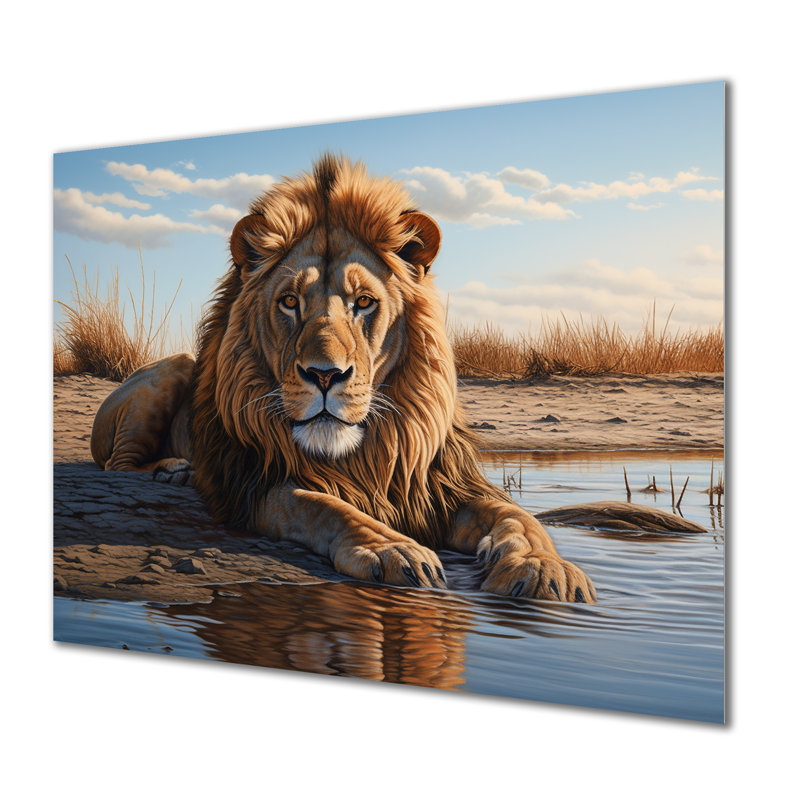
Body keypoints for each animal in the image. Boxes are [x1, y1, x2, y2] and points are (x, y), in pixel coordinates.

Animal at [91, 154, 596, 603]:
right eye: (289, 302)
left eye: (364, 302)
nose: (325, 375)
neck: (361, 456)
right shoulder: (257, 482)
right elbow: (324, 506)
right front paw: (393, 549)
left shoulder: (438, 487)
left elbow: (518, 517)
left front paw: (544, 568)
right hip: (173, 369)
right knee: (117, 464)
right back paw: (173, 470)